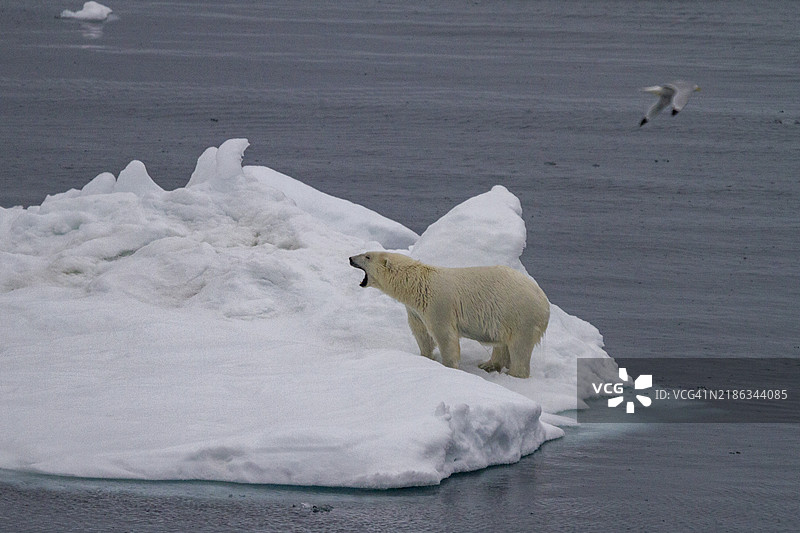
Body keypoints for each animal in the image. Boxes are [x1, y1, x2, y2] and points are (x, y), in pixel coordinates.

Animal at [349, 251, 549, 378]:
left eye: (367, 256)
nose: (350, 258)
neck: (418, 284)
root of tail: (544, 302)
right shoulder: (415, 310)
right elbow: (422, 334)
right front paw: (425, 357)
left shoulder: (439, 304)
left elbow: (444, 335)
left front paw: (448, 366)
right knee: (502, 344)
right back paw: (488, 365)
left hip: (521, 315)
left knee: (519, 348)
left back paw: (514, 374)